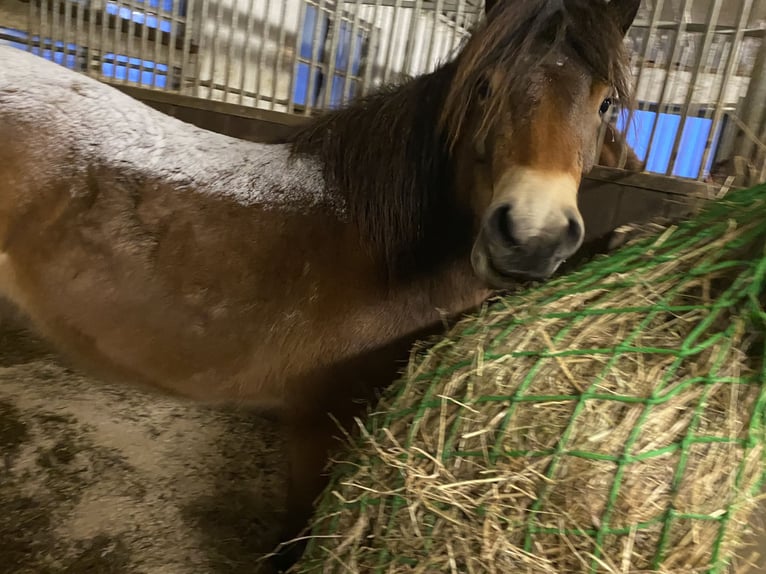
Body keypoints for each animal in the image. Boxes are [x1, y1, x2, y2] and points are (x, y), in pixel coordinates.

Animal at [0, 0, 640, 564]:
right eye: (483, 86)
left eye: (605, 102)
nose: (531, 237)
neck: (374, 240)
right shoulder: (320, 424)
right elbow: (296, 535)